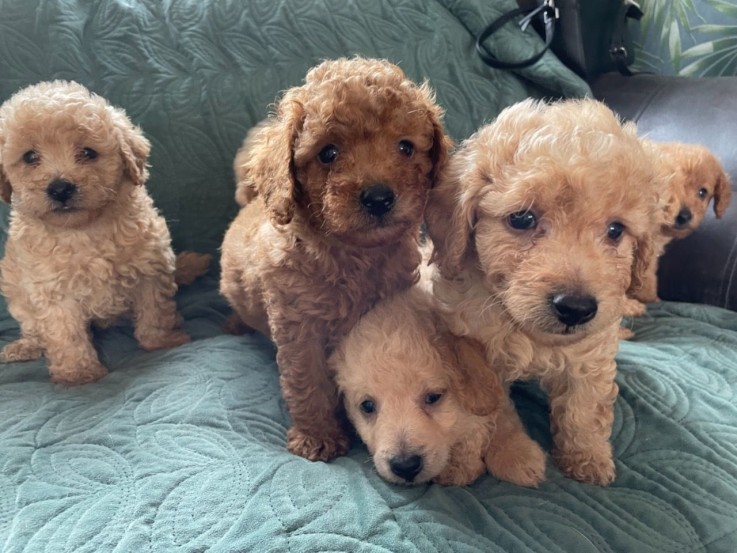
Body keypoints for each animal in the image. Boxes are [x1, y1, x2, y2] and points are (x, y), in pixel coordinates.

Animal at [0, 81, 210, 384]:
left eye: (88, 153)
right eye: (29, 157)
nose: (60, 188)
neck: (83, 230)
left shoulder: (151, 267)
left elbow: (156, 312)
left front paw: (162, 341)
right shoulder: (52, 291)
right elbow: (65, 333)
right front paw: (78, 373)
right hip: (15, 292)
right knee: (32, 327)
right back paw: (25, 346)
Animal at [218, 57, 448, 462]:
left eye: (405, 147)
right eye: (328, 153)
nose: (378, 198)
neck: (354, 255)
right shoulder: (299, 329)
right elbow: (308, 383)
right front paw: (318, 436)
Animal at [328, 280, 548, 488]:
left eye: (433, 397)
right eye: (367, 406)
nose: (405, 466)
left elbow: (501, 416)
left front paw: (516, 454)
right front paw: (459, 465)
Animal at [422, 98, 660, 484]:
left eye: (615, 230)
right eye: (522, 219)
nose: (576, 308)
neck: (528, 335)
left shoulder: (591, 353)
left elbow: (583, 406)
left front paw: (587, 456)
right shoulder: (471, 351)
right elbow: (489, 413)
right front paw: (481, 460)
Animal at [620, 140, 732, 316]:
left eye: (702, 192)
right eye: (669, 188)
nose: (684, 216)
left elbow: (647, 275)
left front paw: (651, 298)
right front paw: (626, 306)